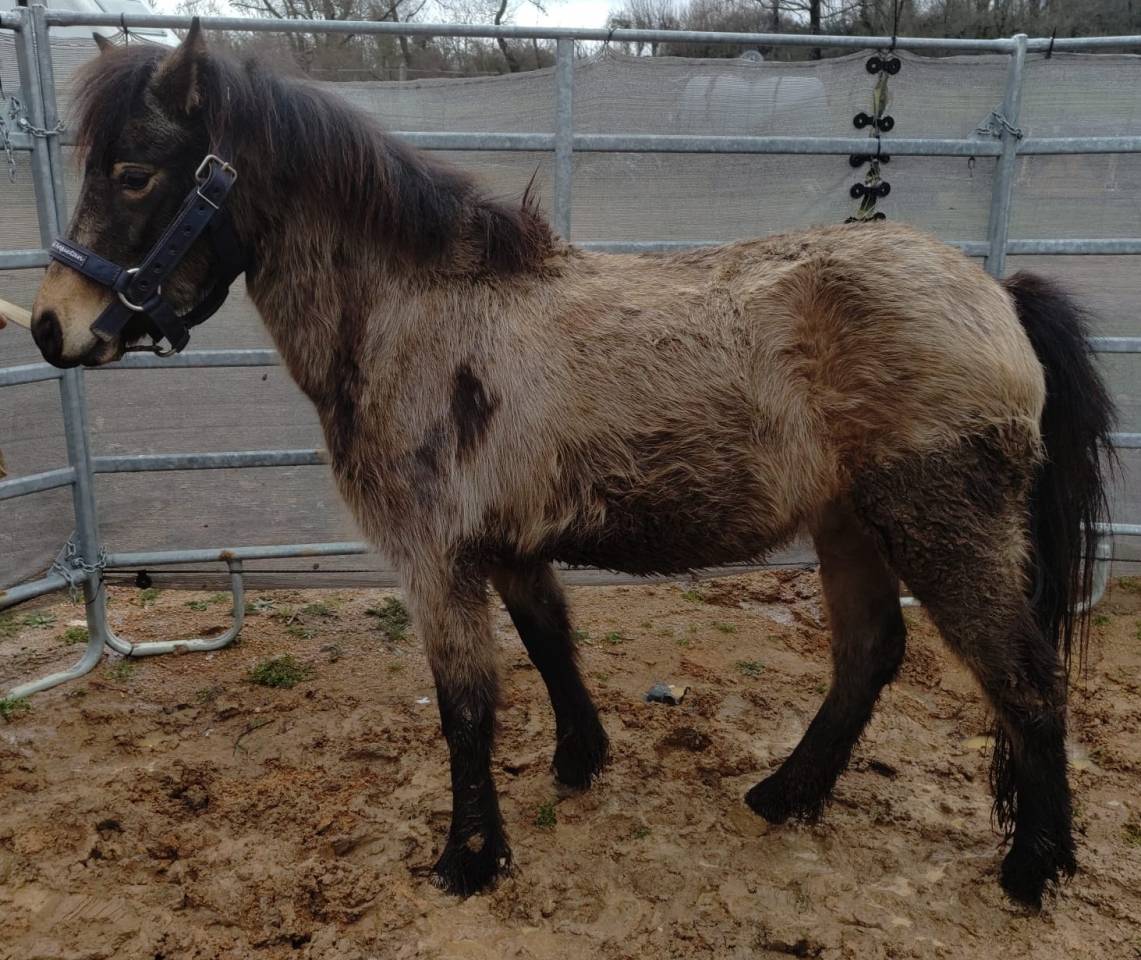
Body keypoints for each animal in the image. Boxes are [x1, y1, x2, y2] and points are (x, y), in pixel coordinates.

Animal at [30, 22, 1114, 907]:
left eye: (135, 172)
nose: (50, 327)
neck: (417, 313)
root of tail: (995, 294)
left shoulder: (433, 559)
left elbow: (466, 706)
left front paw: (468, 859)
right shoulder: (509, 547)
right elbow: (549, 644)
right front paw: (579, 761)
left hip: (942, 529)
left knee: (1021, 677)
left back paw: (1033, 868)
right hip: (849, 523)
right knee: (868, 655)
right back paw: (783, 795)